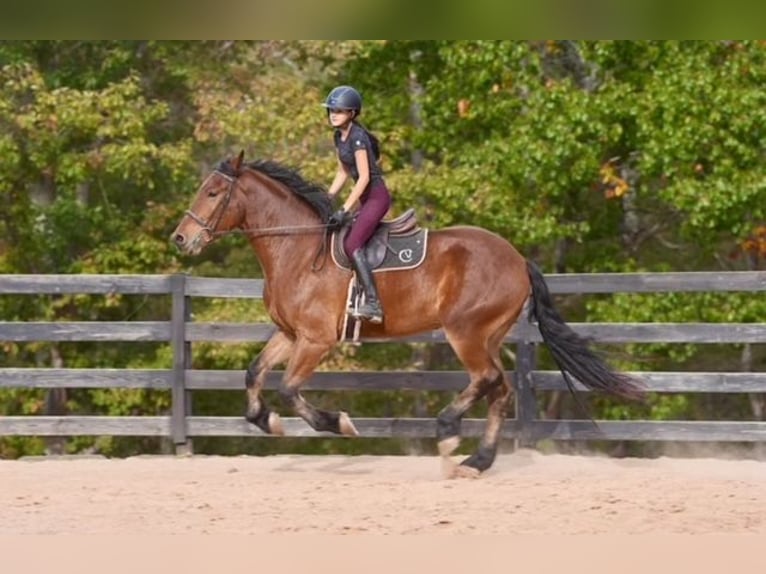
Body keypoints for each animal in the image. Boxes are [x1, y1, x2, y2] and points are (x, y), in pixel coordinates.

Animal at [171, 151, 645, 478]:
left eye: (213, 193)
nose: (180, 239)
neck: (298, 250)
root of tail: (517, 258)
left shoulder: (316, 340)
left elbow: (289, 388)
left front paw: (339, 424)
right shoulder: (290, 334)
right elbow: (254, 373)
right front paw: (266, 421)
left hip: (465, 332)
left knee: (486, 380)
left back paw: (448, 432)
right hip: (487, 336)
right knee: (500, 389)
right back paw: (478, 460)